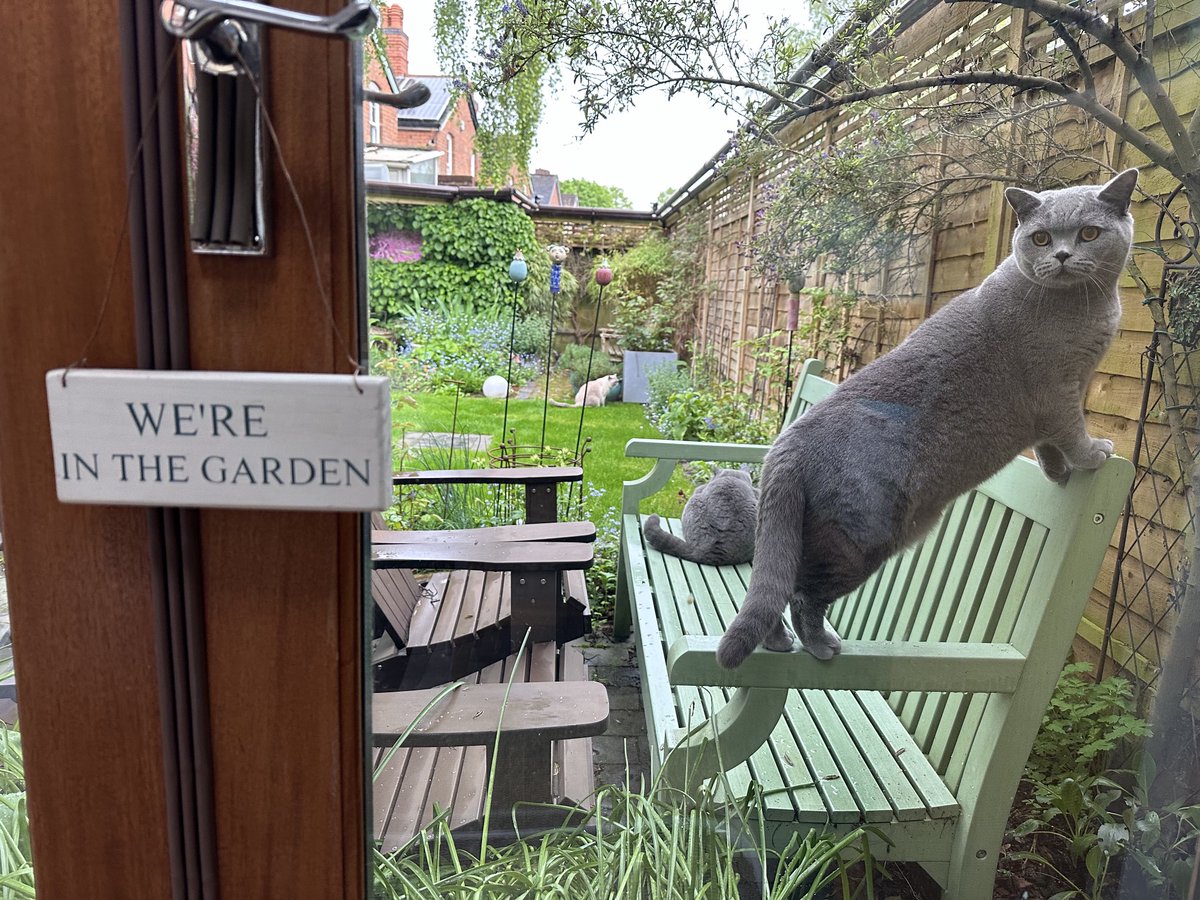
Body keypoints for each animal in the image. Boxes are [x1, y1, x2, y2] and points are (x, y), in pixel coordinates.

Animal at [715, 172, 1137, 672]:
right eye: (1040, 238)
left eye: (1089, 233)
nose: (1063, 255)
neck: (1087, 307)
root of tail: (784, 447)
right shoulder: (1057, 392)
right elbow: (1072, 431)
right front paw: (1095, 454)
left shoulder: (1057, 402)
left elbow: (1049, 446)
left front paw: (1058, 474)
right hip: (859, 538)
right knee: (802, 594)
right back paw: (820, 646)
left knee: (772, 584)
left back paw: (778, 642)